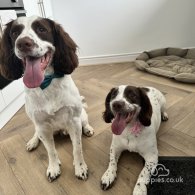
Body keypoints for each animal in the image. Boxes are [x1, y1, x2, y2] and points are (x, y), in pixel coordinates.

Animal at [0, 16, 93, 182]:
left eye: (41, 29)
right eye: (14, 32)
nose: (22, 43)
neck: (46, 83)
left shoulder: (74, 121)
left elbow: (77, 148)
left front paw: (80, 167)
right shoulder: (42, 126)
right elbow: (51, 151)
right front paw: (54, 168)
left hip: (81, 116)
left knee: (85, 121)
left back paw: (88, 128)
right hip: (38, 126)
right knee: (37, 134)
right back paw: (33, 141)